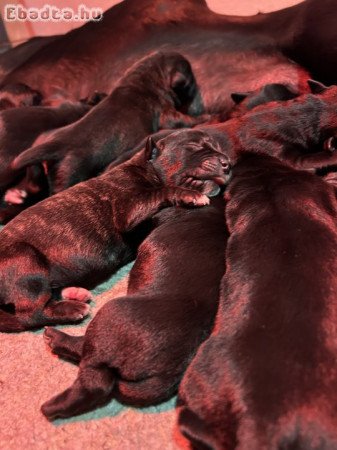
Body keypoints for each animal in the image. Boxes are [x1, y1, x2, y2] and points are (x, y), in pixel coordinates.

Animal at [0, 139, 230, 332]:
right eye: (192, 147)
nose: (227, 163)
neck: (144, 167)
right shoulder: (127, 210)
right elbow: (161, 191)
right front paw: (190, 195)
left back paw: (73, 293)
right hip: (26, 258)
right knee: (31, 315)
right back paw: (72, 309)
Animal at [11, 51, 207, 195]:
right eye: (191, 78)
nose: (198, 91)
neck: (144, 79)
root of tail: (57, 144)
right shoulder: (165, 112)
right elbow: (182, 118)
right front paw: (206, 117)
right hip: (70, 173)